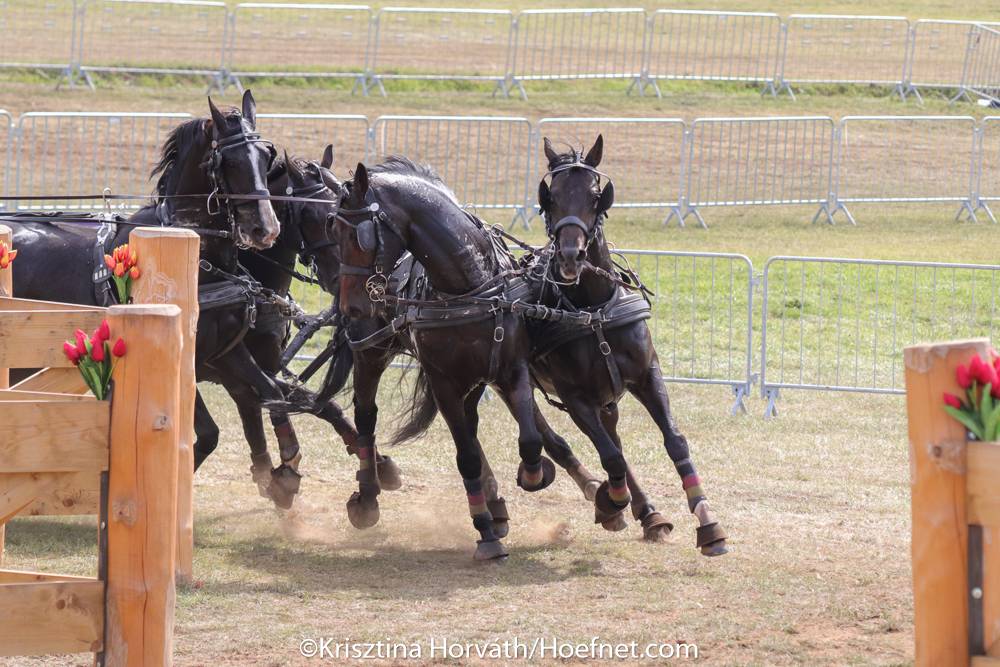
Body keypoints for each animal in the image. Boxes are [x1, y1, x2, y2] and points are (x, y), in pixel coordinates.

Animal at [332, 157, 604, 560]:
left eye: (359, 236)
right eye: (334, 231)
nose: (351, 306)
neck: (469, 286)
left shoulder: (511, 369)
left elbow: (529, 439)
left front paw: (534, 474)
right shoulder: (443, 382)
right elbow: (467, 457)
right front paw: (485, 533)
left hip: (476, 378)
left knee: (478, 427)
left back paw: (500, 503)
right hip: (371, 352)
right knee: (367, 416)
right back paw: (368, 498)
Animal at [531, 135, 728, 557]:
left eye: (595, 195)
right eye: (550, 197)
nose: (571, 256)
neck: (593, 310)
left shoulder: (647, 375)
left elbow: (674, 441)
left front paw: (708, 522)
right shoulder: (575, 397)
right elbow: (610, 455)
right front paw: (610, 501)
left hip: (607, 392)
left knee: (612, 437)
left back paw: (648, 513)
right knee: (557, 439)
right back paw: (604, 495)